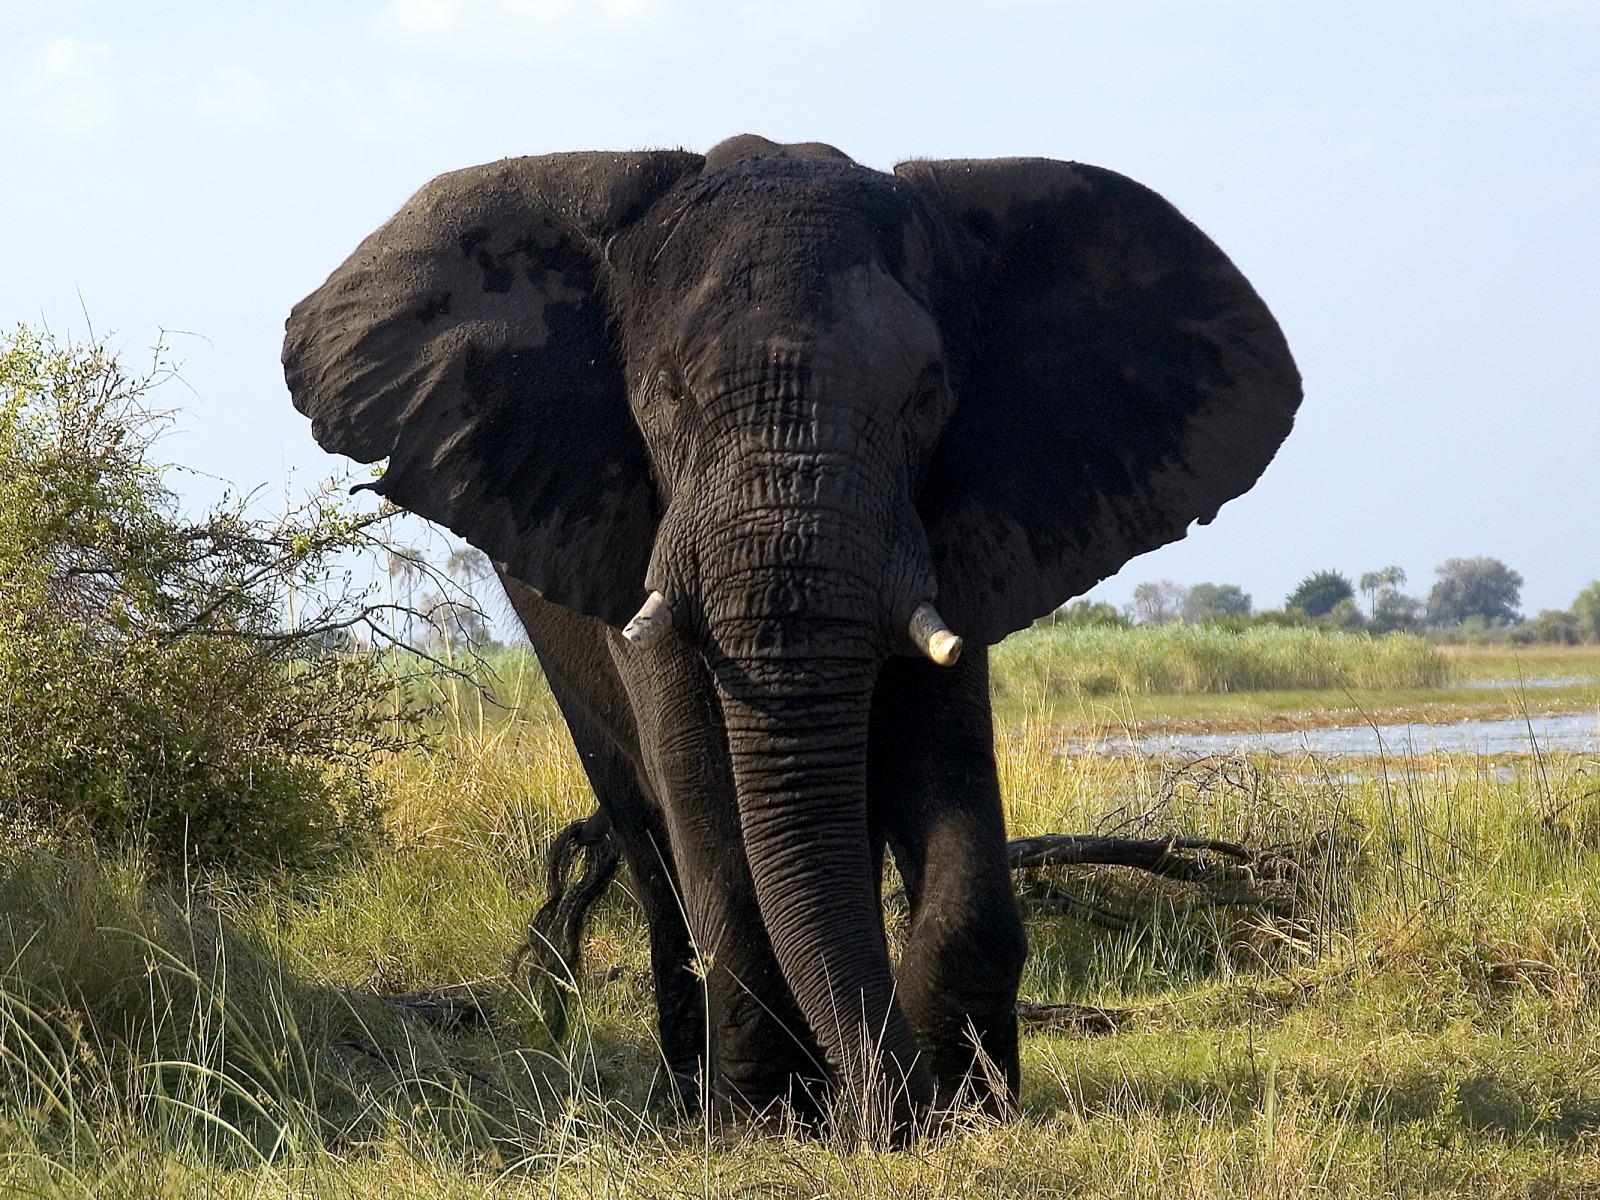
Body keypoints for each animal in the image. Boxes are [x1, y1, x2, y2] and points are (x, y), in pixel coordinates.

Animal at [282, 134, 1301, 1137]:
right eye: (668, 396)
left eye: (926, 395)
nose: (900, 1117)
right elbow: (702, 790)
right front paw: (770, 1120)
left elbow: (944, 764)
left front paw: (971, 1108)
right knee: (648, 838)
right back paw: (688, 1104)